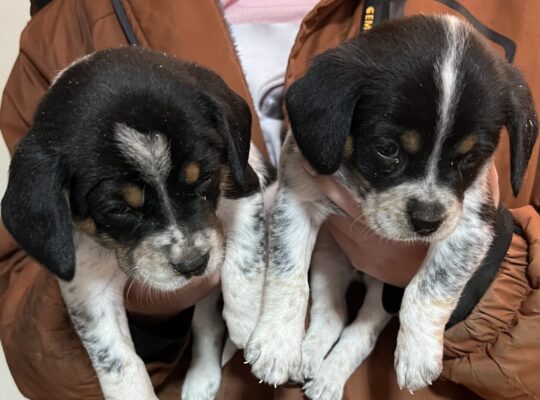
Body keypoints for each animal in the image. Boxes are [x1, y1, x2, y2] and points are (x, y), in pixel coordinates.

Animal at [246, 14, 540, 398]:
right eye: (386, 148)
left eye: (470, 157)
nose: (427, 222)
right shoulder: (296, 198)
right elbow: (287, 276)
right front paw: (276, 345)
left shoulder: (471, 226)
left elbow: (431, 287)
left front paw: (418, 355)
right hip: (329, 257)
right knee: (333, 313)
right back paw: (309, 356)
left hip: (382, 293)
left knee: (363, 330)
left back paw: (329, 377)